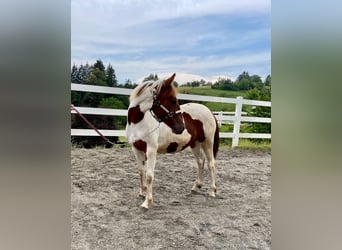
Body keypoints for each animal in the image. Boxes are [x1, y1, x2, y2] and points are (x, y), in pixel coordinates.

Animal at [125, 73, 219, 209]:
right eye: (173, 100)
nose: (181, 127)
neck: (138, 122)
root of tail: (210, 111)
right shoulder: (136, 149)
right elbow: (141, 172)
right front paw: (142, 193)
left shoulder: (151, 150)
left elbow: (149, 176)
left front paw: (147, 202)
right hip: (195, 144)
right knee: (200, 162)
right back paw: (196, 187)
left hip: (207, 143)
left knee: (211, 164)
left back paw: (212, 191)